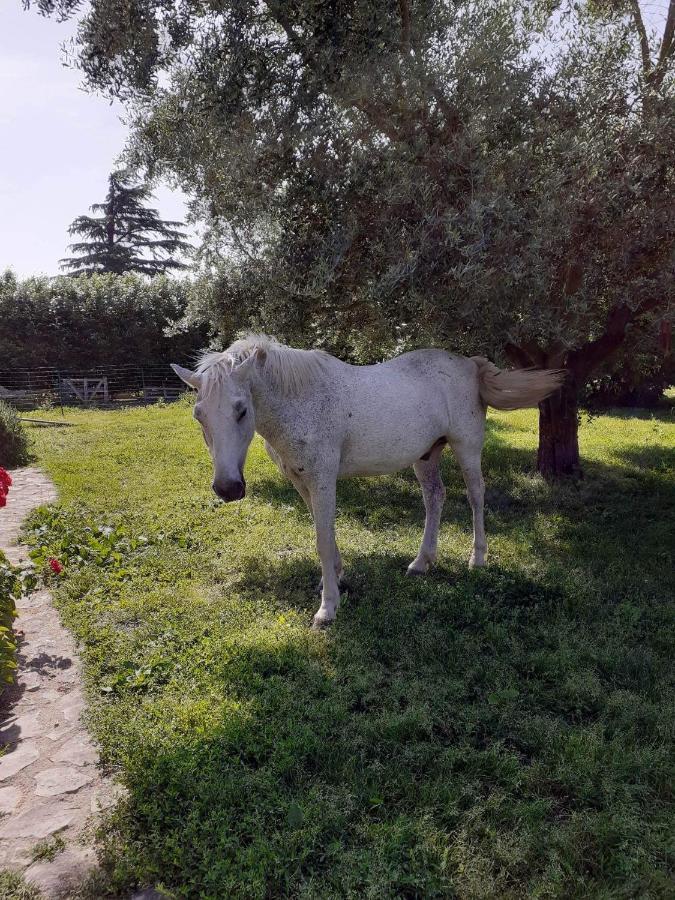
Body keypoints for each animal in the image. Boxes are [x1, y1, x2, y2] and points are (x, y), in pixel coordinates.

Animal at [172, 334, 564, 628]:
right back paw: (421, 562)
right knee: (435, 498)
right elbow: (324, 534)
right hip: (426, 455)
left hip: (466, 448)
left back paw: (477, 558)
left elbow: (322, 541)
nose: (228, 488)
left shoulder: (323, 479)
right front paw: (334, 578)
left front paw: (327, 609)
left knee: (475, 496)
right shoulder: (303, 483)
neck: (301, 399)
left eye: (241, 410)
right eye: (198, 415)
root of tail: (469, 364)